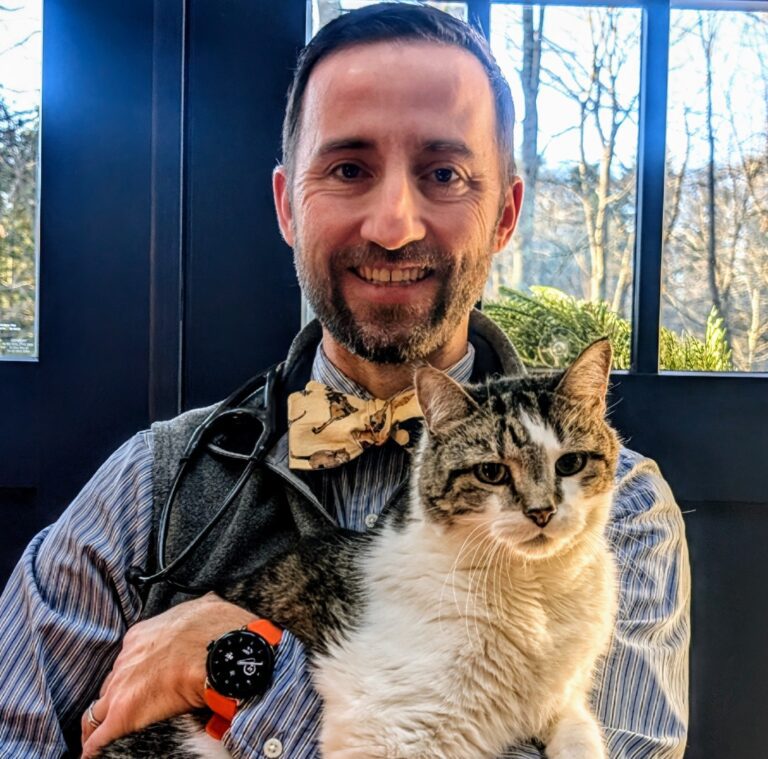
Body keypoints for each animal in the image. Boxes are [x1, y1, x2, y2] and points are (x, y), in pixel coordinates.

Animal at [99, 340, 620, 759]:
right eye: (491, 472)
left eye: (570, 463)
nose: (542, 511)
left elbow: (584, 737)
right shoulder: (390, 729)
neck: (536, 590)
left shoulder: (566, 703)